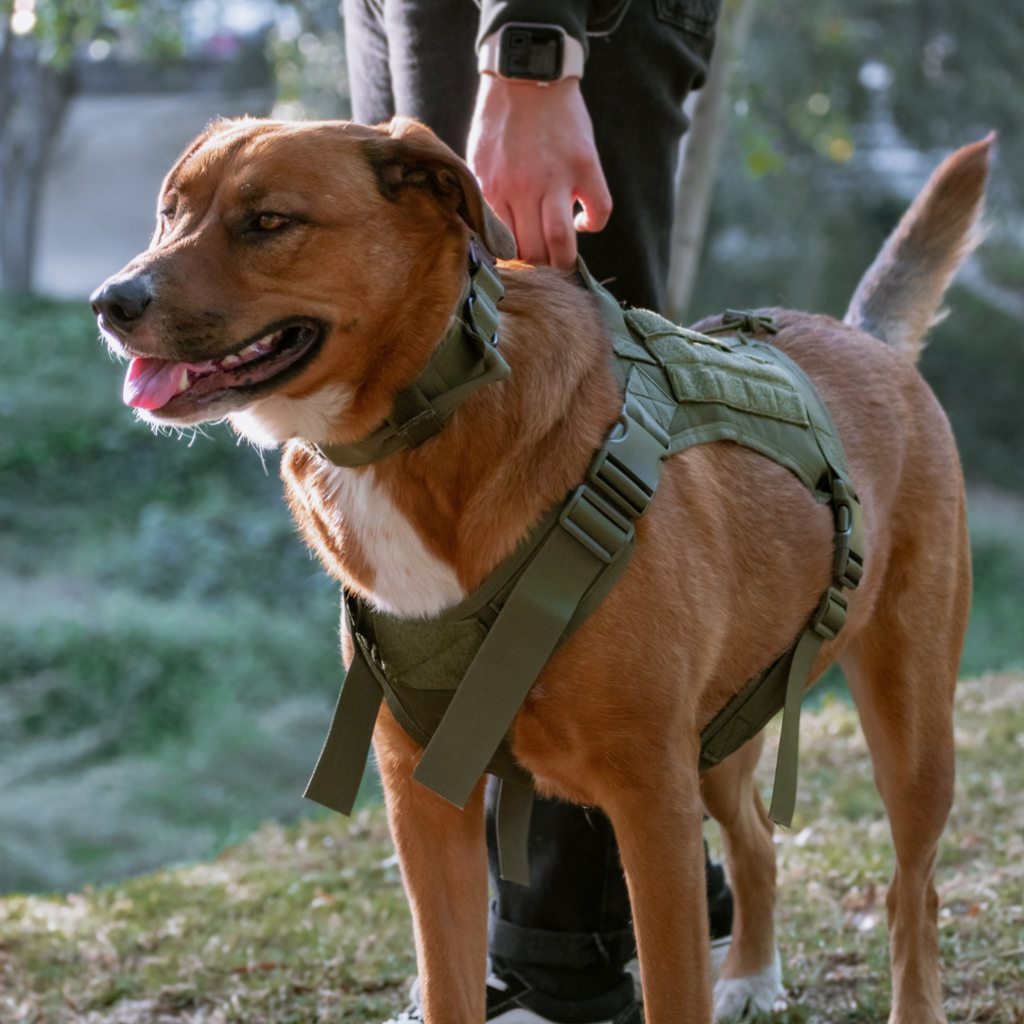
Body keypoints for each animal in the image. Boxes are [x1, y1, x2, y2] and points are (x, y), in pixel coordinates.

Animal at [92, 121, 987, 1024]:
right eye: (170, 213)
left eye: (270, 221)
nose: (110, 303)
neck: (431, 420)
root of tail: (866, 338)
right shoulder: (424, 803)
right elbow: (448, 986)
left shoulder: (651, 799)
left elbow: (674, 988)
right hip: (721, 734)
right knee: (758, 842)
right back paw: (753, 975)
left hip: (909, 736)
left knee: (914, 892)